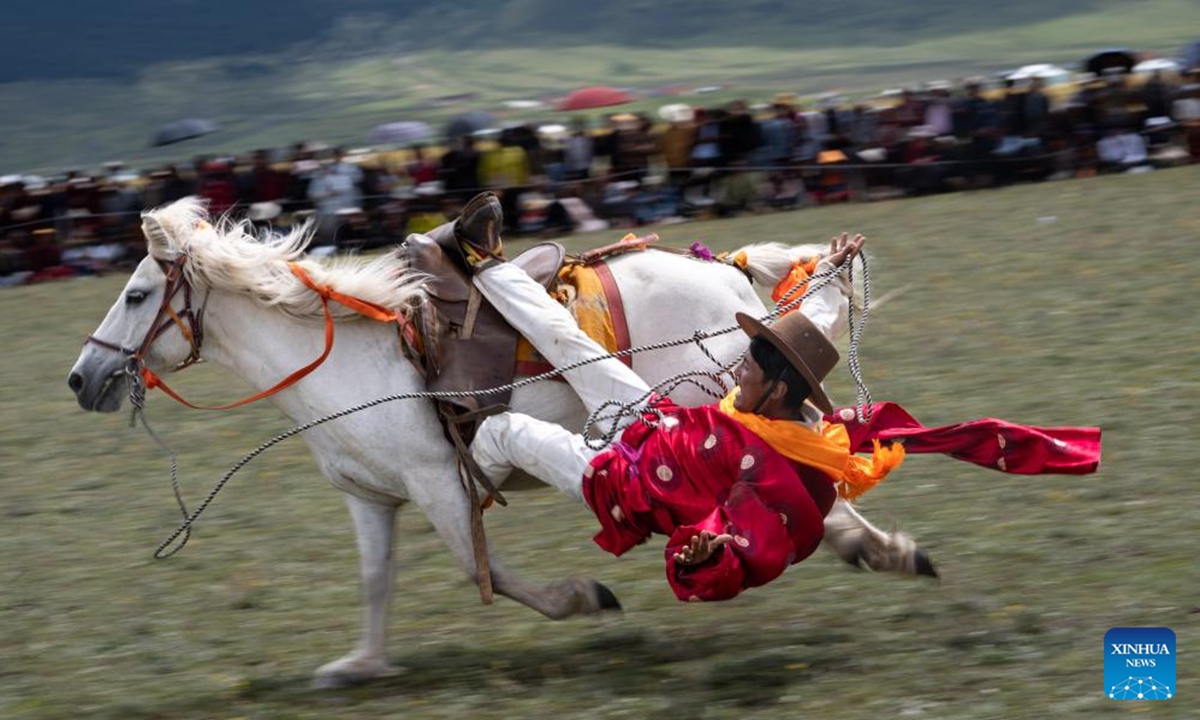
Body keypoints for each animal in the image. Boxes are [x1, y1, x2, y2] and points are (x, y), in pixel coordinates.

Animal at [68, 196, 926, 686]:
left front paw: (583, 597)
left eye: (137, 295)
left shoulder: (439, 484)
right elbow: (376, 582)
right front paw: (360, 666)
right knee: (804, 463)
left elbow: (489, 574)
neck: (344, 358)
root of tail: (723, 272)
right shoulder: (371, 497)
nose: (81, 379)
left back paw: (874, 544)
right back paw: (878, 547)